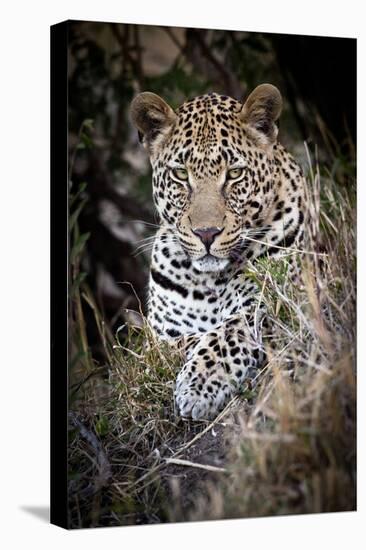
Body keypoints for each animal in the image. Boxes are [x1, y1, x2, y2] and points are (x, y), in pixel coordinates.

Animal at [132, 85, 306, 422]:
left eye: (235, 173)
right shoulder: (160, 335)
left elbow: (224, 335)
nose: (206, 233)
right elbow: (173, 345)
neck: (208, 283)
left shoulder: (268, 303)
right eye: (181, 174)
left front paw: (197, 387)